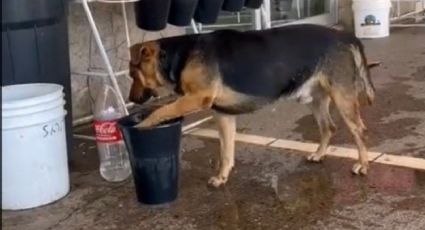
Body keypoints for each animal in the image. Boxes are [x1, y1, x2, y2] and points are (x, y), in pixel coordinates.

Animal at [127, 24, 376, 187]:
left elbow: (161, 110)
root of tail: (344, 35)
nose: (132, 99)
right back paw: (319, 154)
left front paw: (142, 125)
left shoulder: (196, 98)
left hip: (342, 98)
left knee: (359, 130)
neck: (177, 55)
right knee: (328, 127)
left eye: (132, 74)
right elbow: (226, 151)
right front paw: (222, 176)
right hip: (316, 99)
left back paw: (363, 165)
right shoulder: (223, 116)